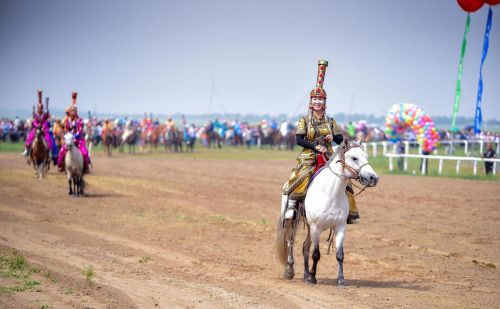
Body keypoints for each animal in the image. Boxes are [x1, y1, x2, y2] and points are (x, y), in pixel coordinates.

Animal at [276, 138, 376, 286]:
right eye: (354, 157)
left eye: (366, 156)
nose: (373, 178)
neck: (330, 193)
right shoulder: (316, 227)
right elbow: (316, 254)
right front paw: (313, 278)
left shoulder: (340, 227)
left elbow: (340, 255)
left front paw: (340, 279)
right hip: (292, 222)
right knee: (291, 242)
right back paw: (290, 271)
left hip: (309, 227)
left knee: (305, 247)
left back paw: (306, 274)